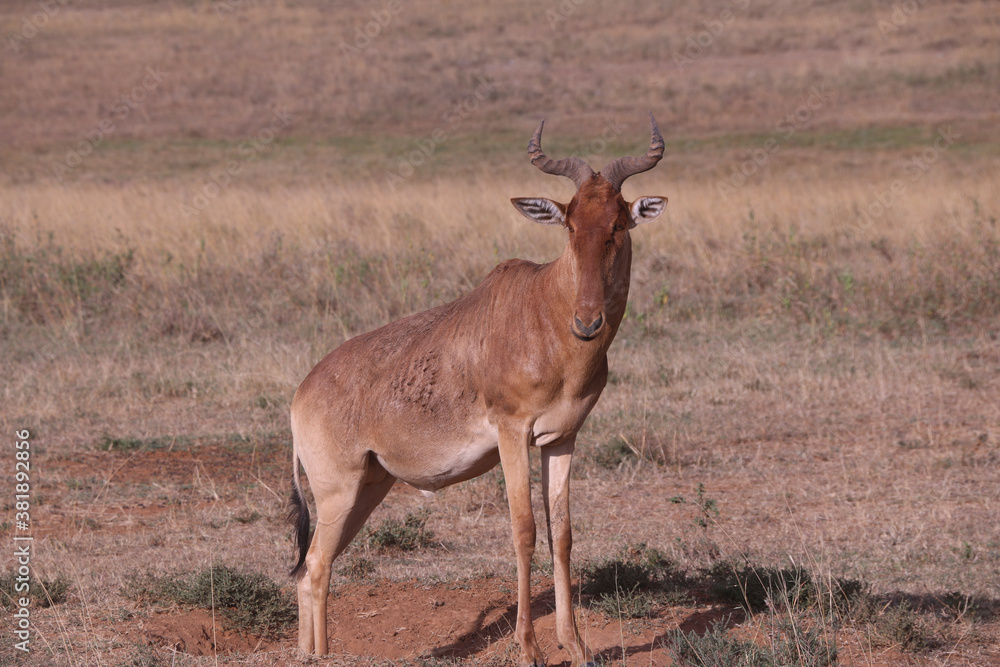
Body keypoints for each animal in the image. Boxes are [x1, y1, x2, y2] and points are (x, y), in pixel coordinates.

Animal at [289, 114, 667, 666]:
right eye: (571, 225)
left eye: (618, 223)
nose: (588, 322)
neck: (542, 307)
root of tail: (300, 394)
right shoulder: (512, 433)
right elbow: (524, 530)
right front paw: (528, 648)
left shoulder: (561, 439)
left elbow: (562, 534)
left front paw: (575, 646)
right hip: (337, 488)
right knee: (314, 565)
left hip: (368, 487)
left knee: (315, 566)